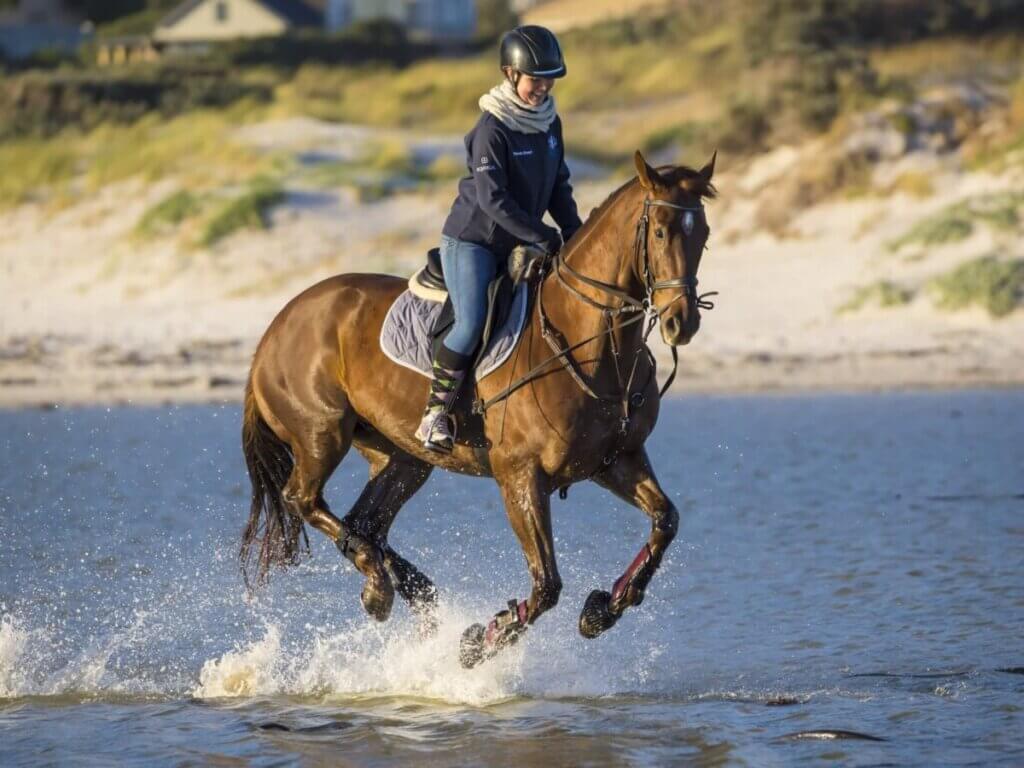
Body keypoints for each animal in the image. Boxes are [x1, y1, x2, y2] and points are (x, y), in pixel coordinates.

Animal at [240, 150, 716, 667]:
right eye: (661, 232)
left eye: (703, 234)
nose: (681, 322)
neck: (590, 345)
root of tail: (275, 326)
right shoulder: (521, 477)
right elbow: (546, 585)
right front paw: (479, 641)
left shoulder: (616, 461)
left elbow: (665, 521)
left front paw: (602, 610)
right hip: (321, 434)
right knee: (304, 499)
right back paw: (381, 588)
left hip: (402, 457)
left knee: (365, 522)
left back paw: (403, 590)